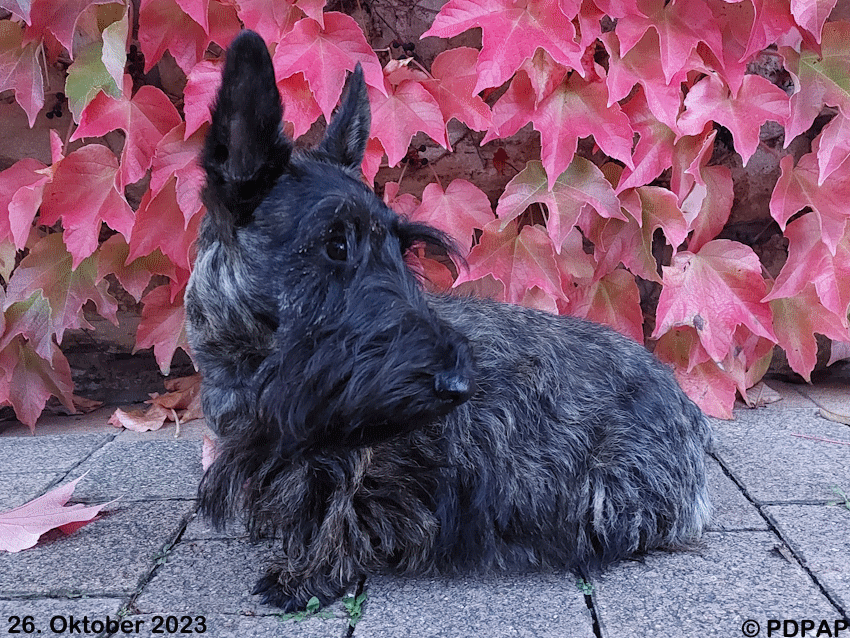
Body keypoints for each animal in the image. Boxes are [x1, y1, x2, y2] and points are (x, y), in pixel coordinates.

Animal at [186, 31, 708, 616]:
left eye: (401, 248)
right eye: (335, 244)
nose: (461, 385)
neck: (256, 373)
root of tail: (685, 403)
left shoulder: (350, 462)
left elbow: (333, 509)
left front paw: (306, 574)